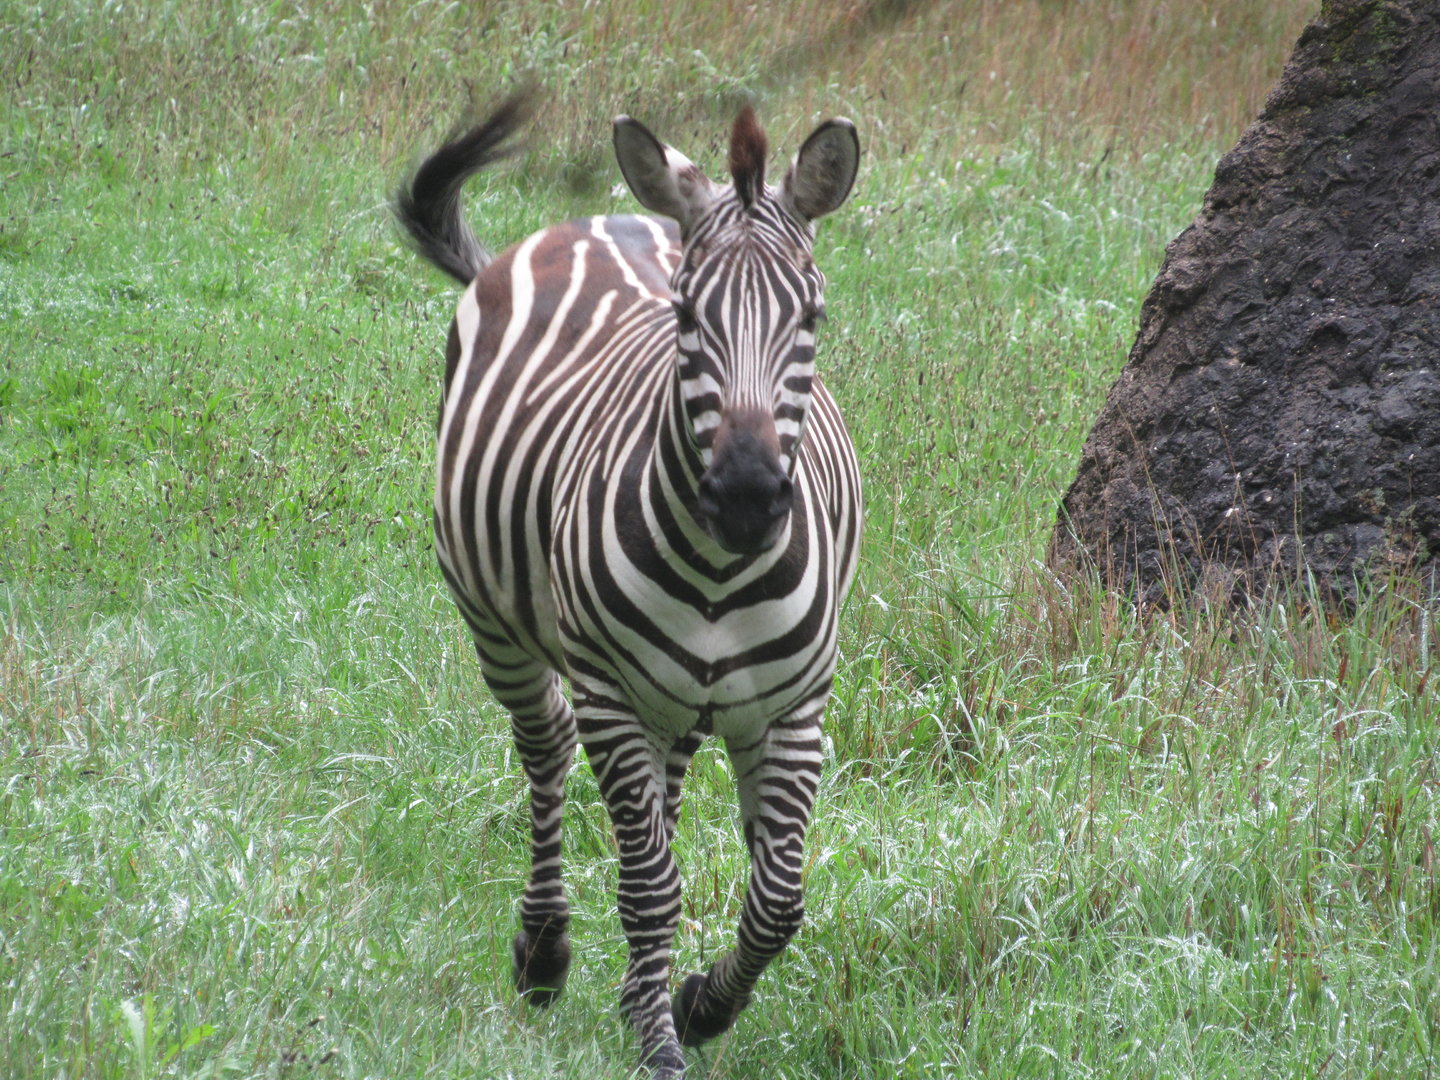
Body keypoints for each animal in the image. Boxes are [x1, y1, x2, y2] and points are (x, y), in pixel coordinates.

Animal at [394, 90, 862, 1077]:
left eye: (812, 317)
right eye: (684, 314)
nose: (748, 496)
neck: (723, 572)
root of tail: (598, 218)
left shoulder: (794, 707)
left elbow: (779, 899)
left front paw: (698, 1006)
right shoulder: (611, 692)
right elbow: (651, 888)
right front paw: (661, 1043)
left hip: (675, 700)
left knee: (665, 796)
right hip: (504, 631)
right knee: (546, 749)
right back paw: (544, 952)